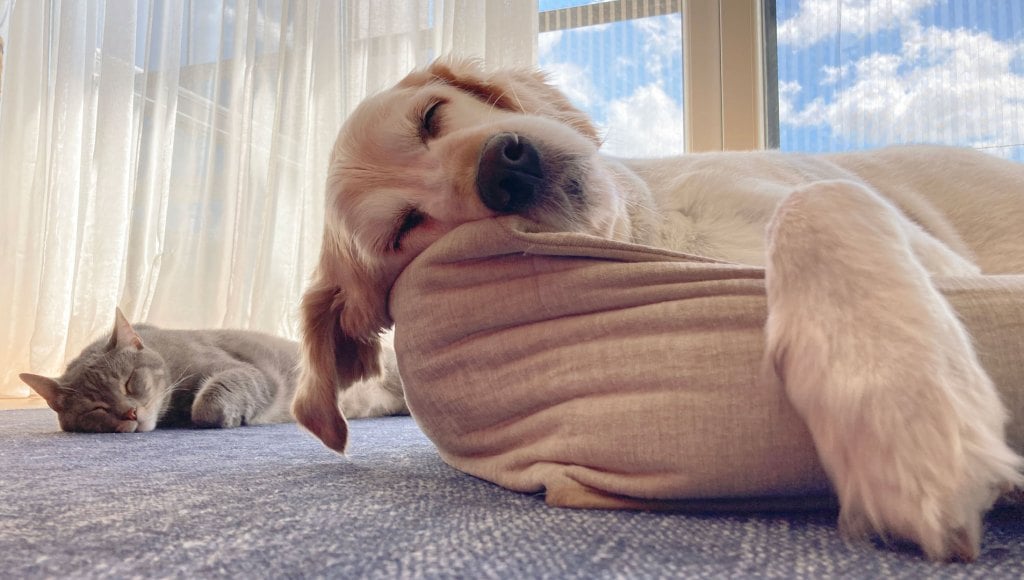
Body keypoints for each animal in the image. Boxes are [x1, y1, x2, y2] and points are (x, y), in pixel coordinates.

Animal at [19, 311, 403, 434]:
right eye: (96, 407)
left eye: (129, 382)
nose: (129, 413)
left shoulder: (247, 371)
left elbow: (209, 400)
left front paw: (224, 416)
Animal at [294, 59, 1024, 565]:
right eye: (404, 229)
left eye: (432, 116)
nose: (506, 167)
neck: (666, 237)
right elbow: (818, 199)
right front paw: (898, 422)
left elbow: (816, 197)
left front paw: (905, 411)